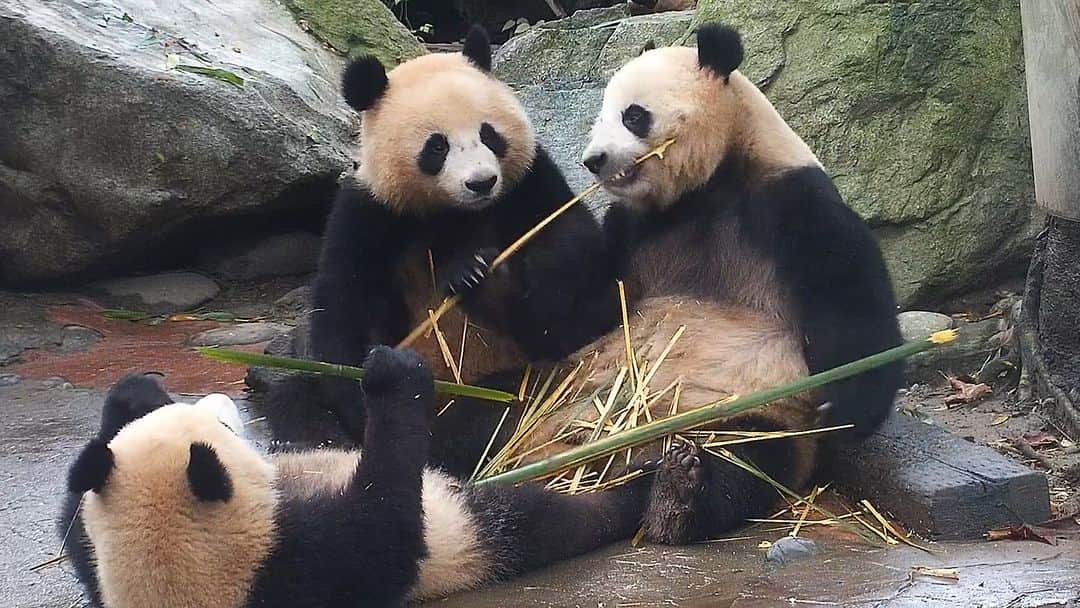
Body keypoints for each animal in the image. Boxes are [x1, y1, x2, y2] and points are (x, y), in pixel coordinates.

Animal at [63, 349, 649, 608]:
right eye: (227, 429)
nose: (221, 402)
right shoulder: (307, 571)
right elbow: (385, 529)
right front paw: (395, 375)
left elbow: (74, 524)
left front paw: (135, 395)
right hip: (473, 527)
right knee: (541, 518)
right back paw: (643, 486)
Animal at [271, 26, 619, 445]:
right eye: (437, 146)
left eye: (489, 134)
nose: (481, 182)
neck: (451, 210)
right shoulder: (369, 211)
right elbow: (343, 301)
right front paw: (365, 396)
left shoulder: (527, 181)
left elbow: (569, 238)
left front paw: (479, 272)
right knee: (293, 396)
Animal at [447, 23, 904, 545]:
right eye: (600, 115)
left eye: (633, 115)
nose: (593, 160)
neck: (704, 188)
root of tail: (598, 463)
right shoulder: (630, 230)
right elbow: (582, 317)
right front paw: (477, 274)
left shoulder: (791, 203)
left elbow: (851, 304)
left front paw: (847, 410)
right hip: (547, 389)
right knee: (468, 413)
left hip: (744, 412)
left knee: (743, 461)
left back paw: (679, 495)